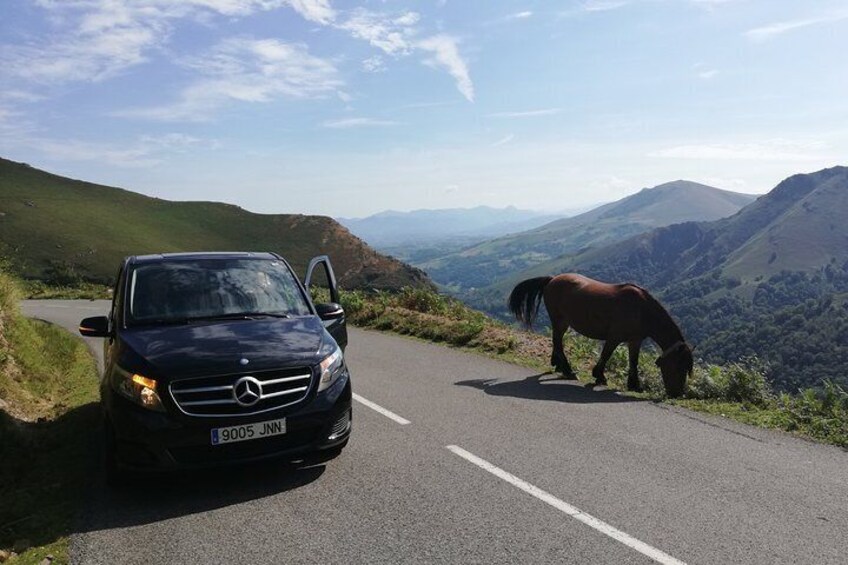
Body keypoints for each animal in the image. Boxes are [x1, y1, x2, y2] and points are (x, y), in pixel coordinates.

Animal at [506, 274, 692, 396]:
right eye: (679, 367)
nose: (677, 394)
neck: (642, 309)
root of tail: (552, 279)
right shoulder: (614, 337)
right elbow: (606, 355)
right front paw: (599, 376)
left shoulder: (635, 340)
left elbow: (634, 361)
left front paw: (634, 385)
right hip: (560, 321)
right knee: (558, 342)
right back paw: (568, 370)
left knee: (557, 342)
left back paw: (558, 365)